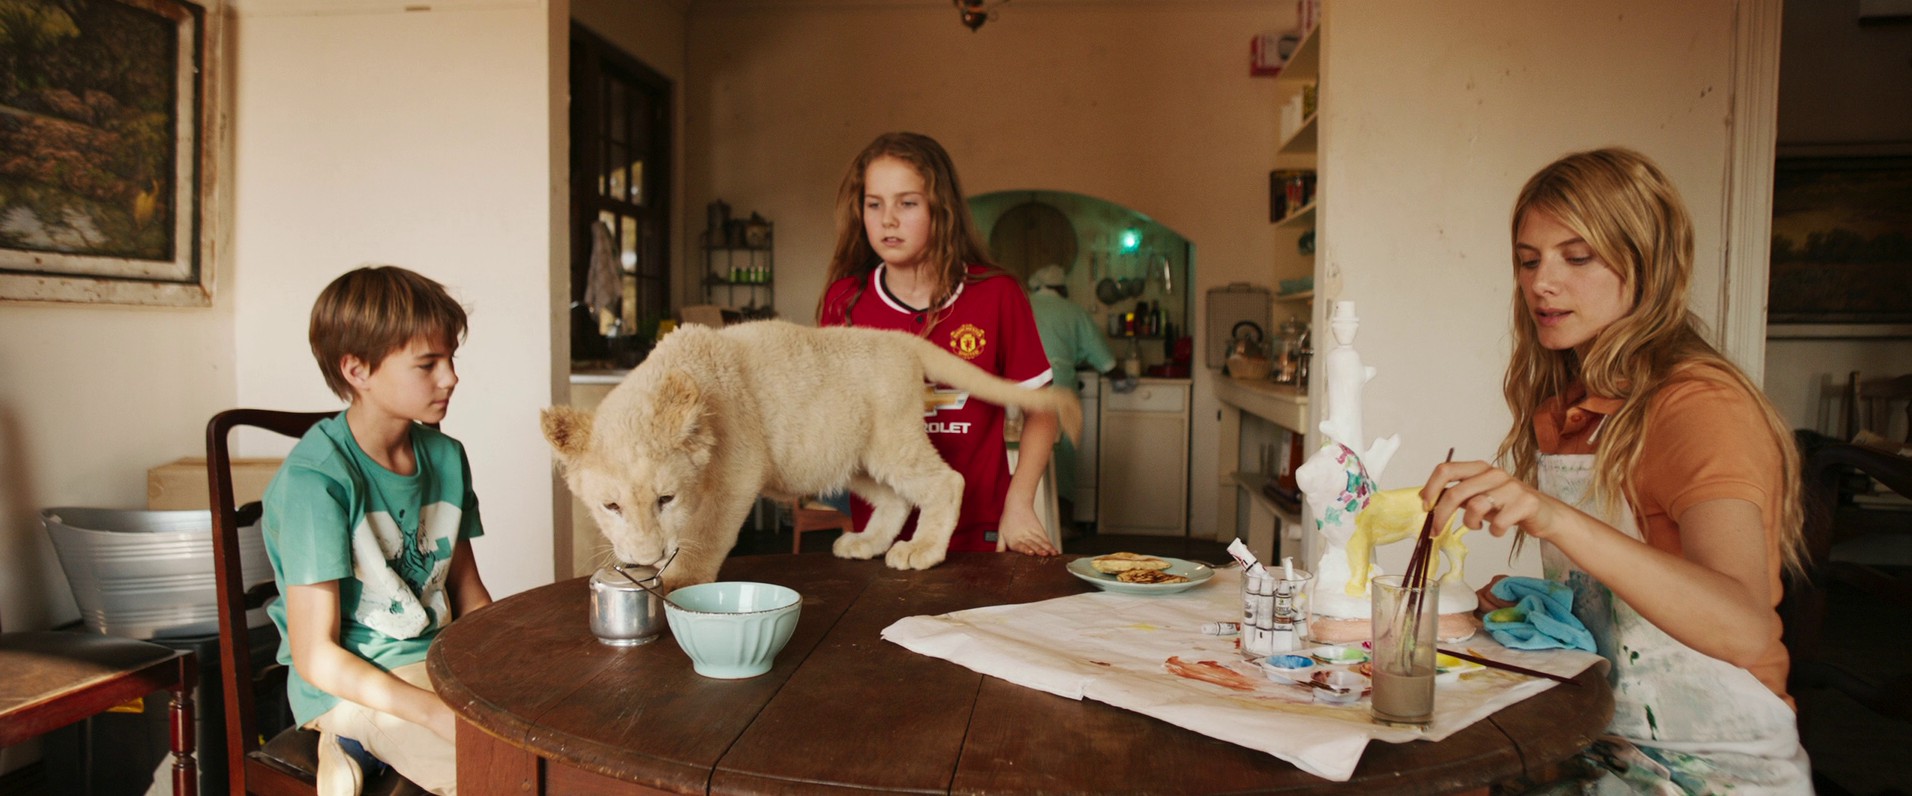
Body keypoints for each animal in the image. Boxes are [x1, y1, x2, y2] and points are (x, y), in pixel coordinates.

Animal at [540, 320, 1082, 591]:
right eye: (611, 506)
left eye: (665, 500)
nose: (645, 558)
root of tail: (903, 341)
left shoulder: (737, 473)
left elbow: (707, 532)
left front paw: (678, 580)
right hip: (852, 456)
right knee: (895, 499)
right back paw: (866, 544)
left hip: (892, 439)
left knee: (945, 483)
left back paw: (921, 550)